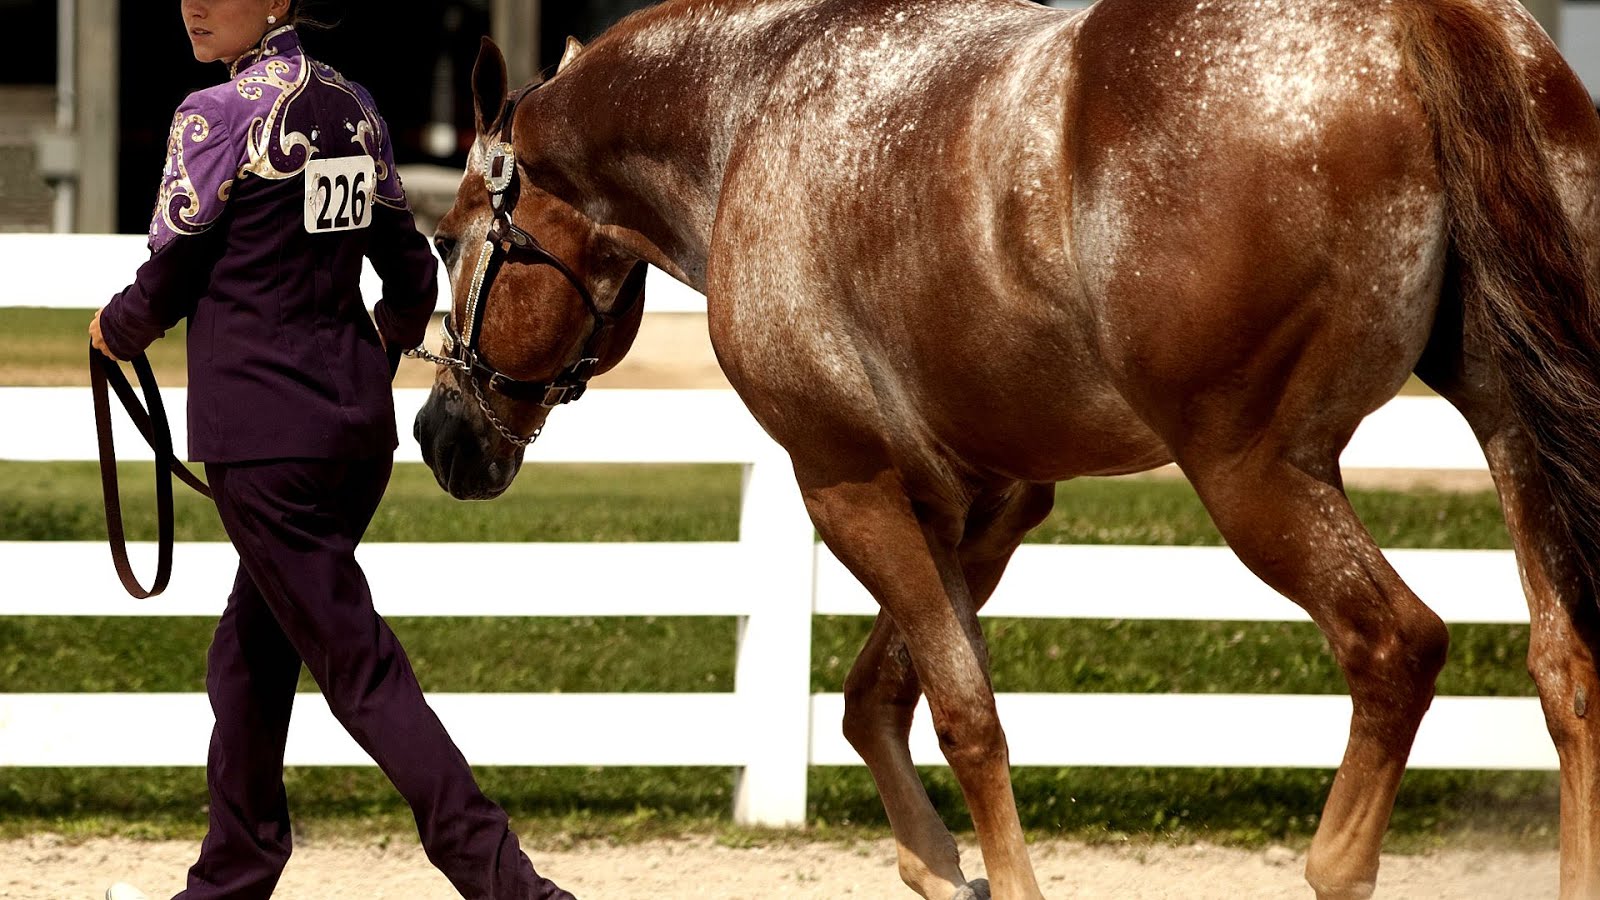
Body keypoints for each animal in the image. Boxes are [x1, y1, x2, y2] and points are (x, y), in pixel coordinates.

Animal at [411, 1, 1600, 897]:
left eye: (454, 234)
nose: (438, 435)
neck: (748, 114)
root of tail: (1415, 19)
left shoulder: (846, 484)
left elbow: (961, 716)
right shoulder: (988, 500)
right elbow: (879, 700)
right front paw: (936, 866)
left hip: (1257, 475)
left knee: (1395, 647)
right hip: (1516, 429)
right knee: (1566, 666)